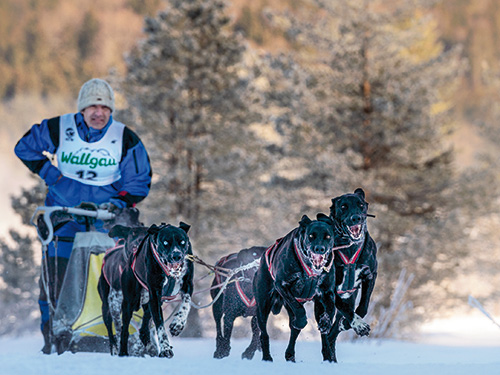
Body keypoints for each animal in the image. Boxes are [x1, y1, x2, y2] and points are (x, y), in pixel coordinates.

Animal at [116, 223, 194, 358]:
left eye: (182, 242)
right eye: (165, 242)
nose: (176, 256)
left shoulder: (187, 284)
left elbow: (186, 304)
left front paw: (178, 324)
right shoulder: (155, 293)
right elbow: (160, 325)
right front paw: (165, 348)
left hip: (151, 302)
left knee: (144, 327)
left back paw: (147, 342)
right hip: (130, 302)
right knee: (125, 329)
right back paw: (123, 352)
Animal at [254, 216, 336, 362]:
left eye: (328, 236)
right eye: (311, 236)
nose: (319, 248)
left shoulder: (326, 293)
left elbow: (331, 310)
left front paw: (326, 323)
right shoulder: (282, 285)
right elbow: (298, 309)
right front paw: (302, 320)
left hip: (316, 307)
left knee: (300, 333)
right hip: (263, 306)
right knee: (264, 333)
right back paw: (267, 357)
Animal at [320, 189, 376, 362]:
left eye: (361, 205)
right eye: (343, 206)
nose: (356, 217)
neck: (350, 247)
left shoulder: (370, 275)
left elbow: (363, 307)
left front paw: (347, 323)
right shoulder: (331, 290)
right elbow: (347, 310)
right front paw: (358, 325)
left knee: (332, 335)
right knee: (326, 334)